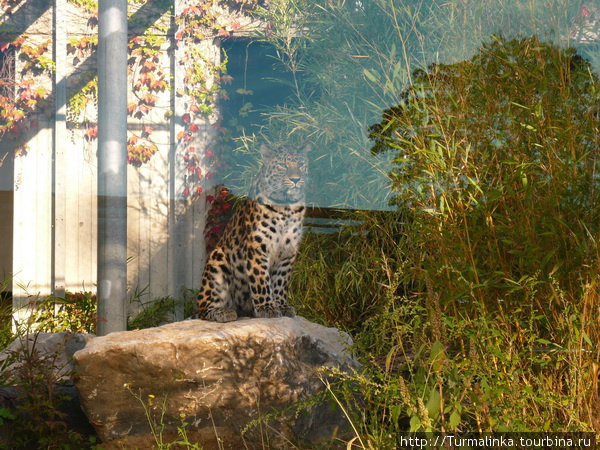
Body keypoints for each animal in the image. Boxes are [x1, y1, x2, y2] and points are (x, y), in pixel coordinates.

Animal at [197, 142, 310, 322]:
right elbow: (261, 280)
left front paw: (281, 306)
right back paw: (223, 312)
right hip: (217, 260)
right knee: (203, 308)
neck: (286, 206)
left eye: (300, 164)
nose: (295, 179)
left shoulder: (288, 251)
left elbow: (281, 281)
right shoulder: (257, 247)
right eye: (283, 165)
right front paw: (267, 308)